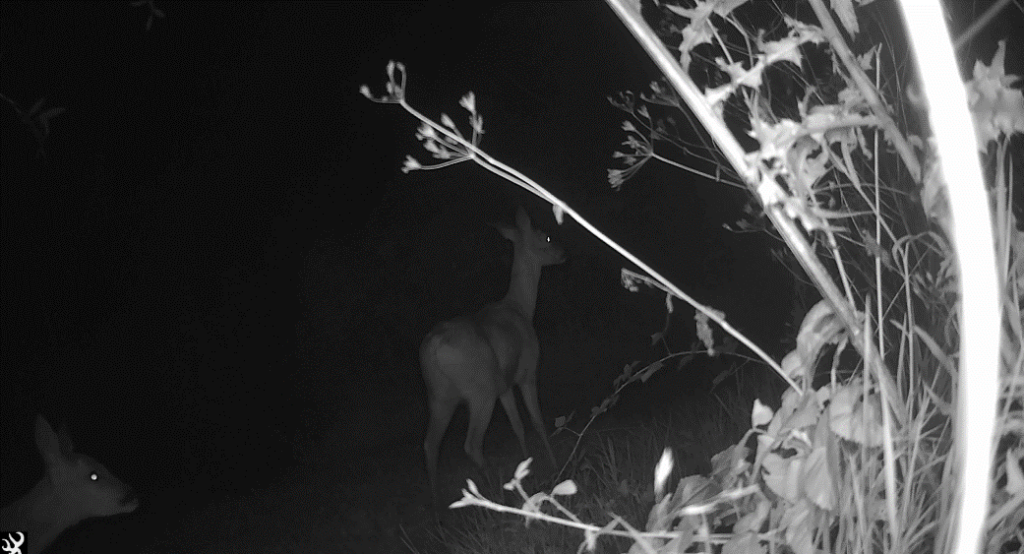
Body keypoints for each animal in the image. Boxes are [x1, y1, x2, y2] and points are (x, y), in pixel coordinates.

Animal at [417, 205, 565, 501]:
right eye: (546, 237)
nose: (563, 252)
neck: (521, 308)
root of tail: (434, 347)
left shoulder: (504, 385)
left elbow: (518, 426)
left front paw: (528, 467)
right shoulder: (527, 372)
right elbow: (537, 421)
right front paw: (554, 466)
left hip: (439, 395)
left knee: (430, 444)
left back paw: (438, 504)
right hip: (479, 391)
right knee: (471, 444)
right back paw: (495, 494)